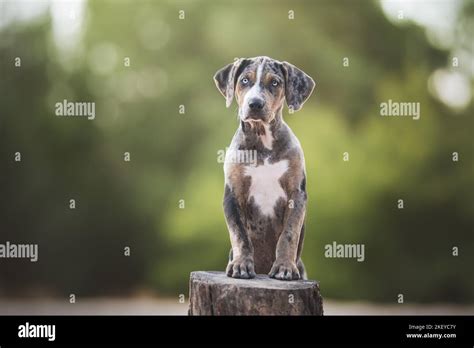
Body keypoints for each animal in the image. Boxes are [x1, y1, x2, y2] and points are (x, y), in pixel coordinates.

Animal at [215, 56, 314, 280]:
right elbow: (239, 235)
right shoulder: (232, 194)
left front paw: (285, 267)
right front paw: (241, 265)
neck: (262, 142)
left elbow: (289, 234)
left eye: (275, 83)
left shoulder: (297, 194)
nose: (255, 103)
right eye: (244, 80)